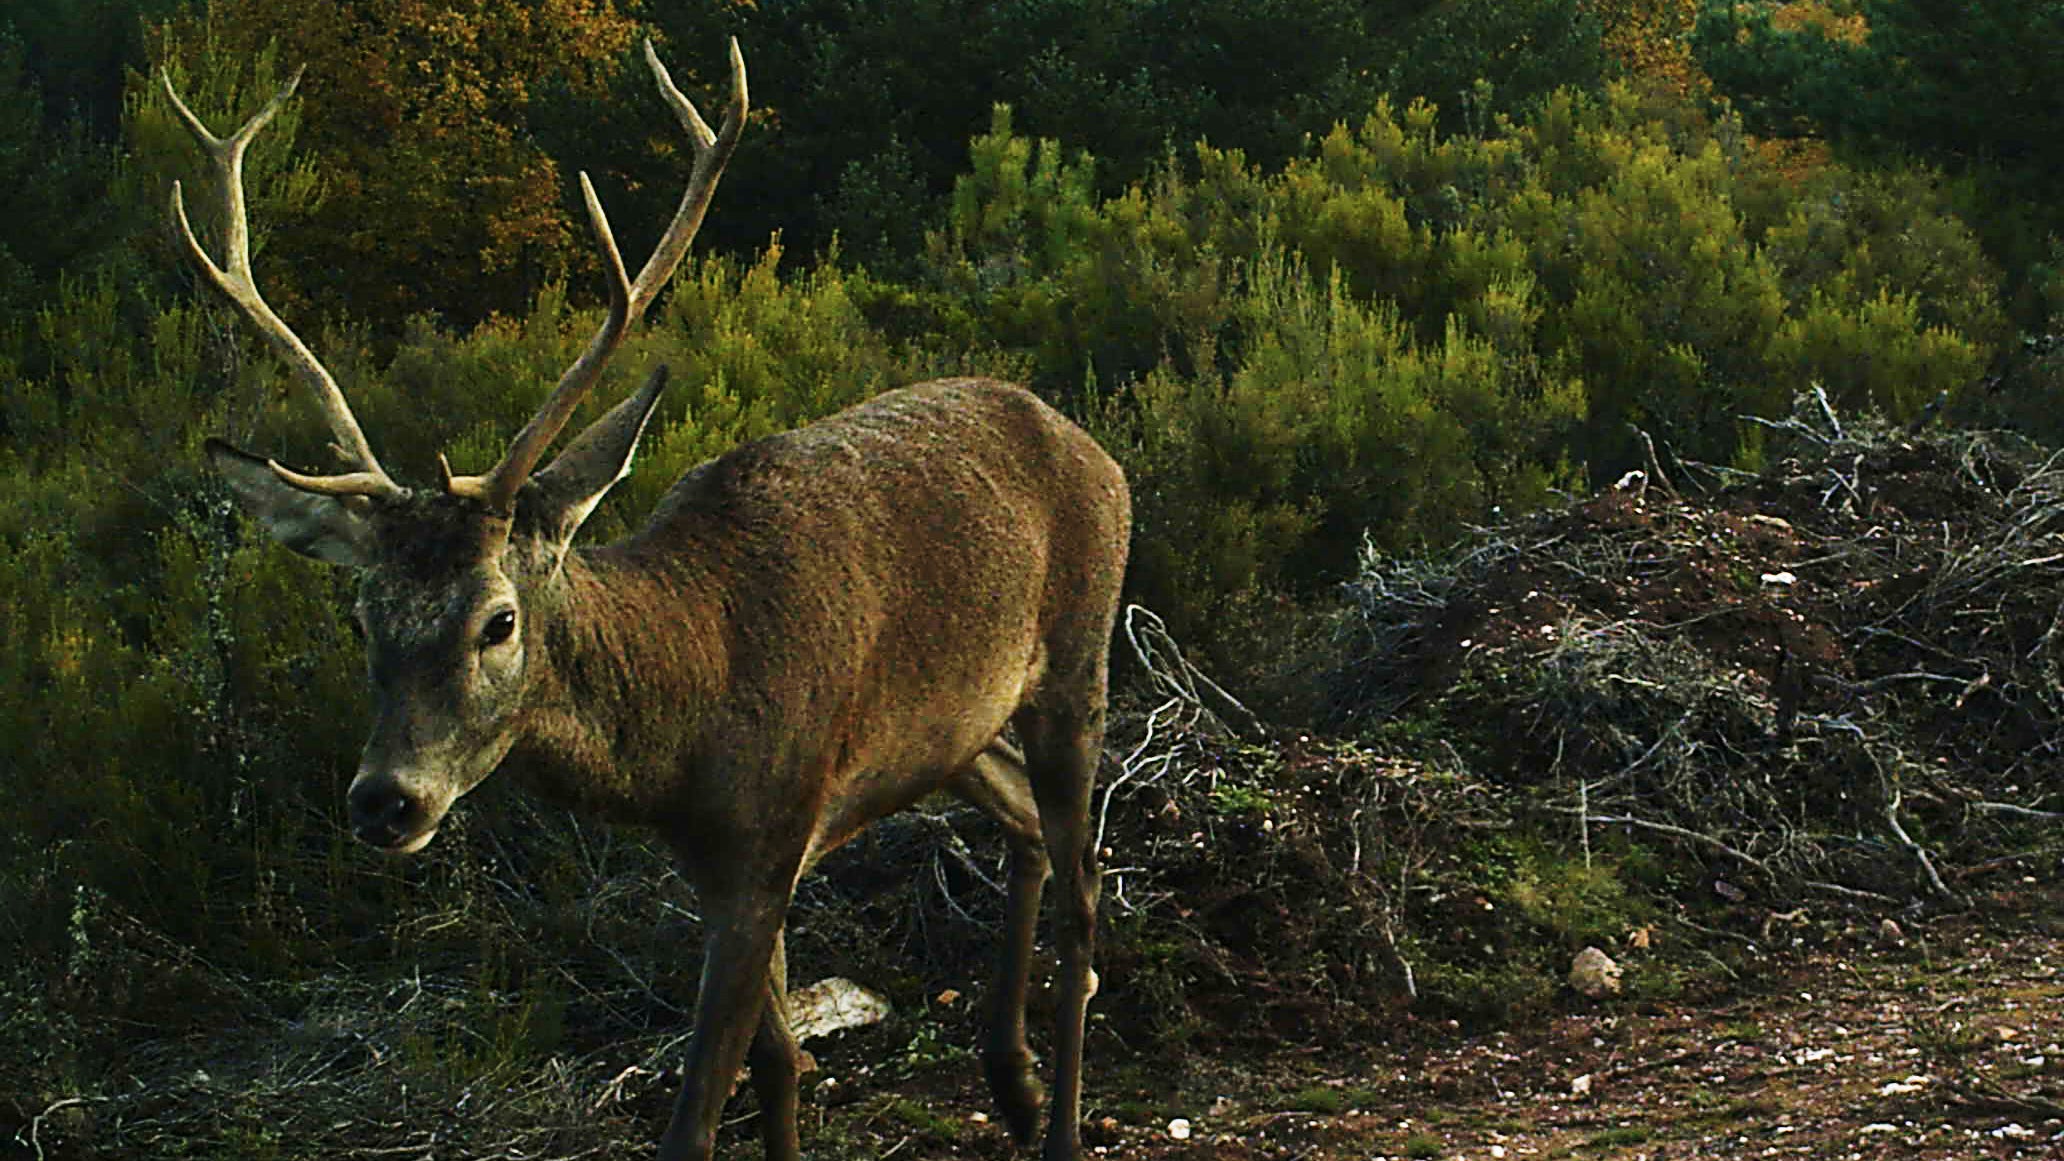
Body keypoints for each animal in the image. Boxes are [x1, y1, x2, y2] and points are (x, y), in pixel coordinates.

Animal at [164, 38, 1128, 1161]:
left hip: (1079, 657)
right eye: (361, 618)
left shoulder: (769, 839)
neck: (685, 721)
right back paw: (1010, 1083)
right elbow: (782, 1064)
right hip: (954, 730)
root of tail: (1088, 443)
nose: (384, 800)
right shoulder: (713, 864)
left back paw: (1059, 1120)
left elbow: (701, 1109)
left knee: (1085, 882)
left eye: (498, 621)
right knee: (1022, 822)